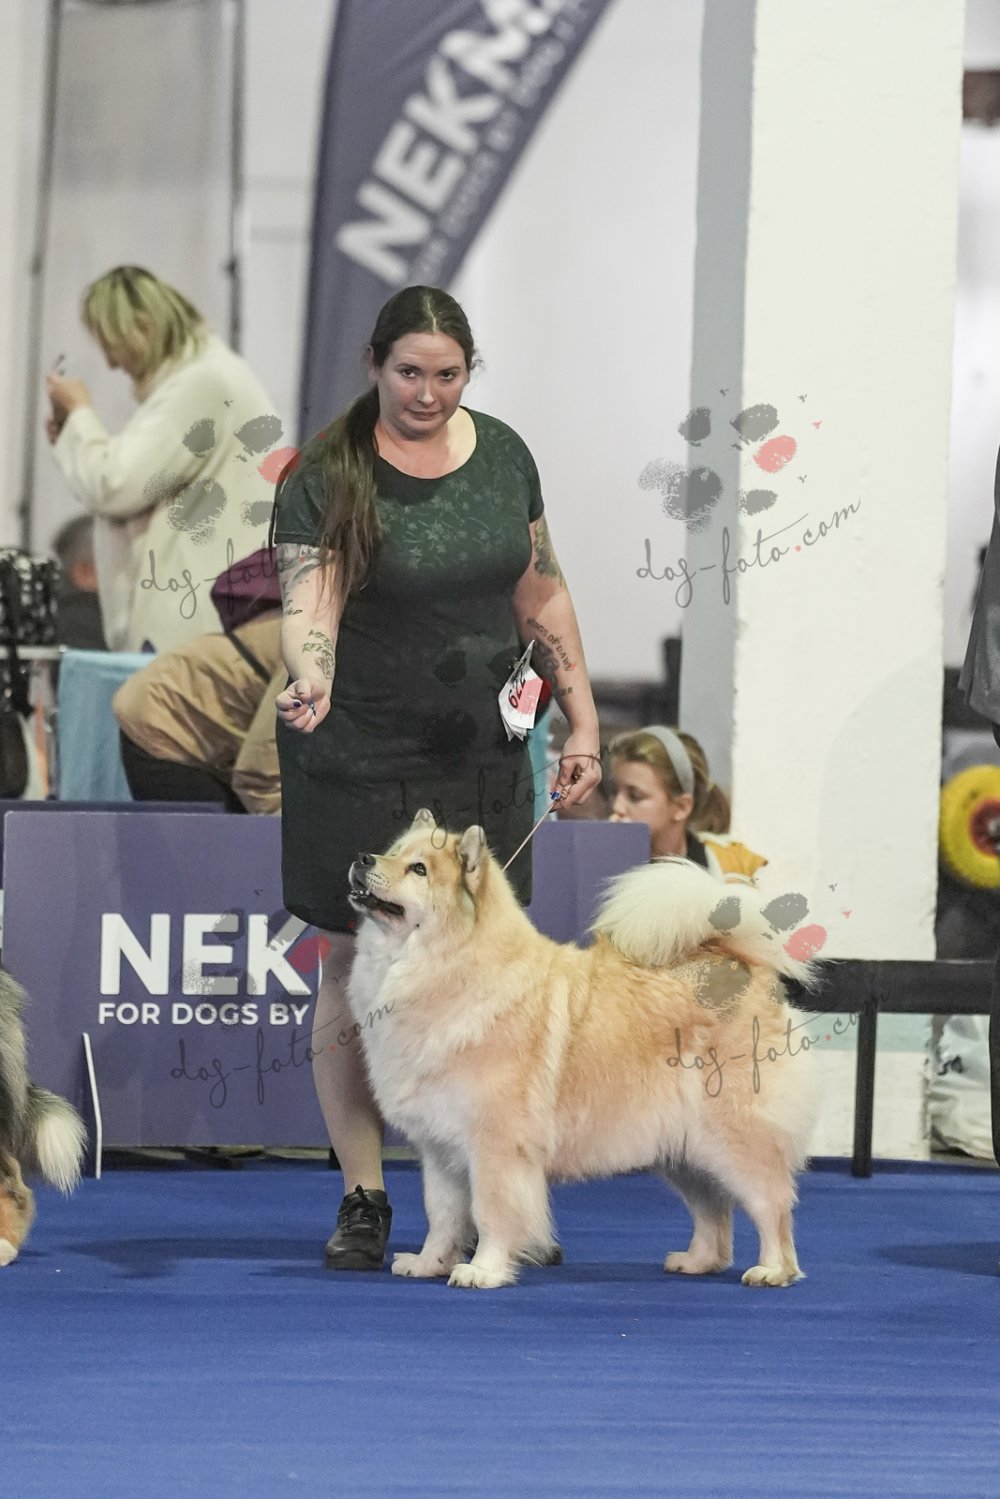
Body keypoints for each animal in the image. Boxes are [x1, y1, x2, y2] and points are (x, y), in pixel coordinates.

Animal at [346, 809, 821, 1290]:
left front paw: (483, 1270)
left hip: (731, 1138)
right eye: (392, 852)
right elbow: (441, 1215)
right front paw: (429, 1263)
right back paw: (698, 1261)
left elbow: (491, 1212)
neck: (447, 968)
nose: (363, 858)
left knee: (770, 1203)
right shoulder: (440, 1151)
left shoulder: (496, 1144)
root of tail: (743, 968)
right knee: (713, 1210)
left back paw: (772, 1269)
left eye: (418, 870)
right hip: (685, 1151)